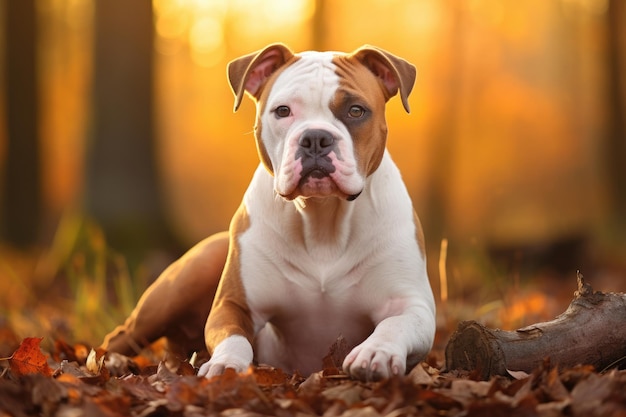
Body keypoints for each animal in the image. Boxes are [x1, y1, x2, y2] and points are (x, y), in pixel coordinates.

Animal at [101, 43, 434, 380]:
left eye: (356, 110)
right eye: (282, 111)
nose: (315, 138)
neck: (322, 218)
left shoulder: (413, 305)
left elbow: (395, 324)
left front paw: (375, 352)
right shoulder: (233, 305)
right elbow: (235, 338)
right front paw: (226, 364)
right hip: (187, 278)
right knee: (122, 335)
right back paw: (110, 362)